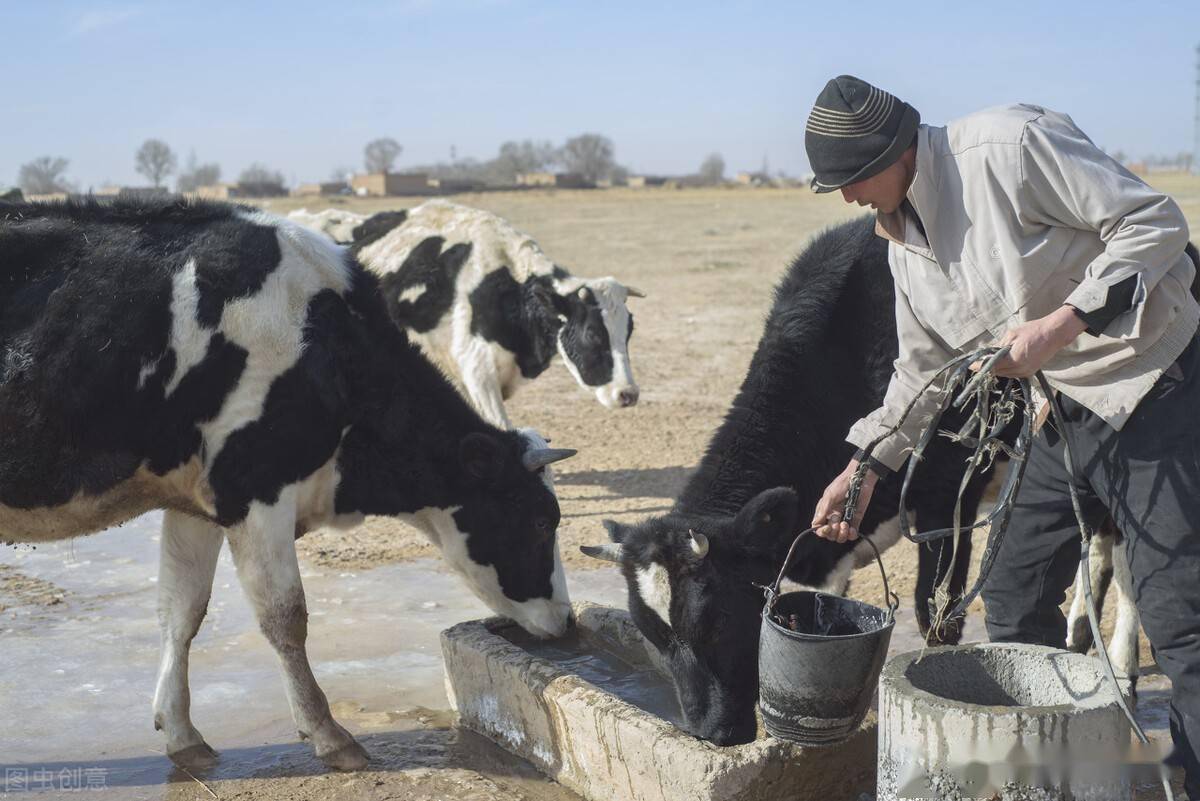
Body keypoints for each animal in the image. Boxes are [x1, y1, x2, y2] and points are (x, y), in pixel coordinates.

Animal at [0, 199, 576, 767]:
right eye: (541, 520)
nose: (567, 621)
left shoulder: (197, 502)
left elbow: (181, 610)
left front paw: (182, 733)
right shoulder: (257, 489)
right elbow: (285, 616)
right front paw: (329, 733)